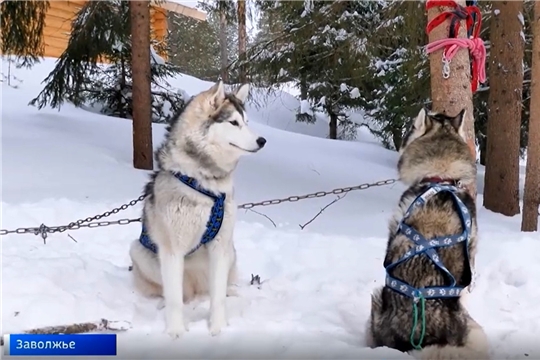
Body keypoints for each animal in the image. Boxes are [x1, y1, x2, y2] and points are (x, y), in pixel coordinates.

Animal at [129, 81, 268, 338]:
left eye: (246, 122)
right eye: (233, 122)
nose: (262, 140)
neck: (206, 184)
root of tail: (195, 287)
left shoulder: (220, 246)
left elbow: (217, 299)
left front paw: (218, 328)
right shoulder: (172, 250)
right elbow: (174, 299)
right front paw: (175, 332)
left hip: (231, 253)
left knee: (216, 289)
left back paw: (228, 291)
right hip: (139, 251)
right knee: (174, 293)